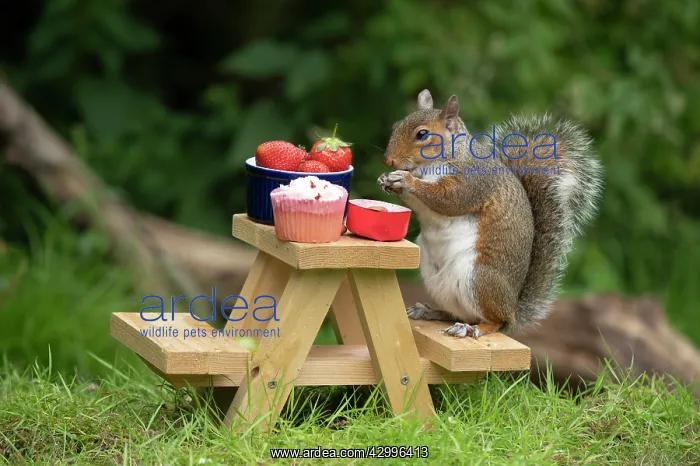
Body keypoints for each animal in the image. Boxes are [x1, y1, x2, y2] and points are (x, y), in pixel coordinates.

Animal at [378, 89, 603, 339]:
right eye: (396, 125)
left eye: (422, 134)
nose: (388, 160)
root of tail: (512, 308)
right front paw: (386, 179)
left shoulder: (473, 181)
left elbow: (449, 199)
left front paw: (406, 180)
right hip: (437, 280)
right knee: (457, 313)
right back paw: (430, 311)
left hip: (479, 278)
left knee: (494, 321)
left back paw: (470, 328)